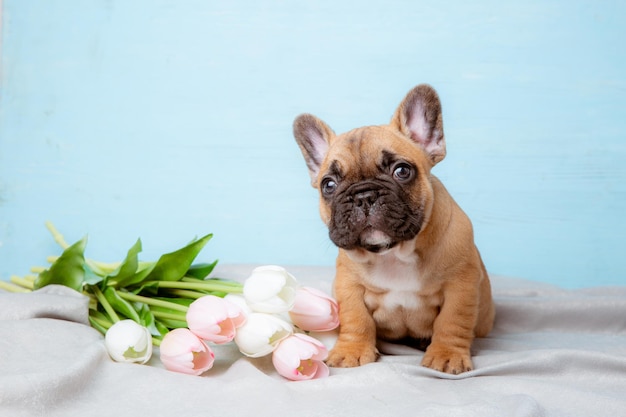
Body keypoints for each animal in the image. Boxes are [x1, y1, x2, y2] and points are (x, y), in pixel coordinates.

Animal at [292, 84, 492, 374]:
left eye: (402, 171)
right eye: (328, 185)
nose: (364, 196)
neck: (394, 254)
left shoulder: (461, 285)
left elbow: (452, 321)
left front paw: (447, 355)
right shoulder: (348, 285)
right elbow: (356, 318)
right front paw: (352, 350)